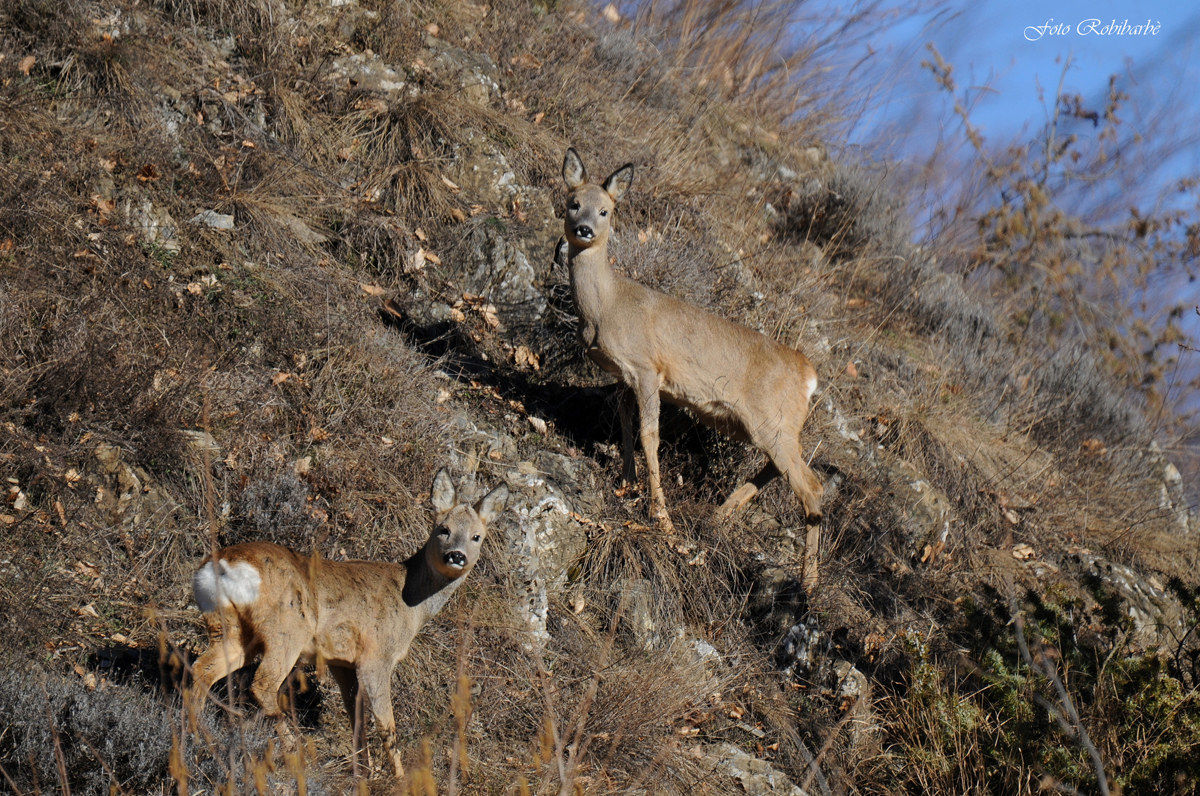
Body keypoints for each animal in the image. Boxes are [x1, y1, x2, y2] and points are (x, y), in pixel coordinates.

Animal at [186, 469, 508, 779]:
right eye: (443, 529)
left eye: (477, 536)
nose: (457, 556)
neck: (410, 604)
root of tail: (222, 566)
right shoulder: (376, 657)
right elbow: (385, 724)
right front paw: (398, 777)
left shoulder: (341, 662)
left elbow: (356, 718)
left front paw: (365, 772)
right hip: (286, 629)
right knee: (263, 683)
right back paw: (294, 753)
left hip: (230, 629)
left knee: (202, 669)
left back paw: (200, 740)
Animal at [557, 147, 823, 538]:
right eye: (573, 203)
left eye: (606, 210)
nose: (584, 229)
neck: (607, 304)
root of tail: (809, 376)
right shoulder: (624, 375)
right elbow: (624, 421)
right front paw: (627, 482)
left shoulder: (648, 368)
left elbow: (649, 435)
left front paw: (661, 517)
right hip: (770, 427)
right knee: (780, 471)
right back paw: (718, 516)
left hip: (776, 421)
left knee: (812, 488)